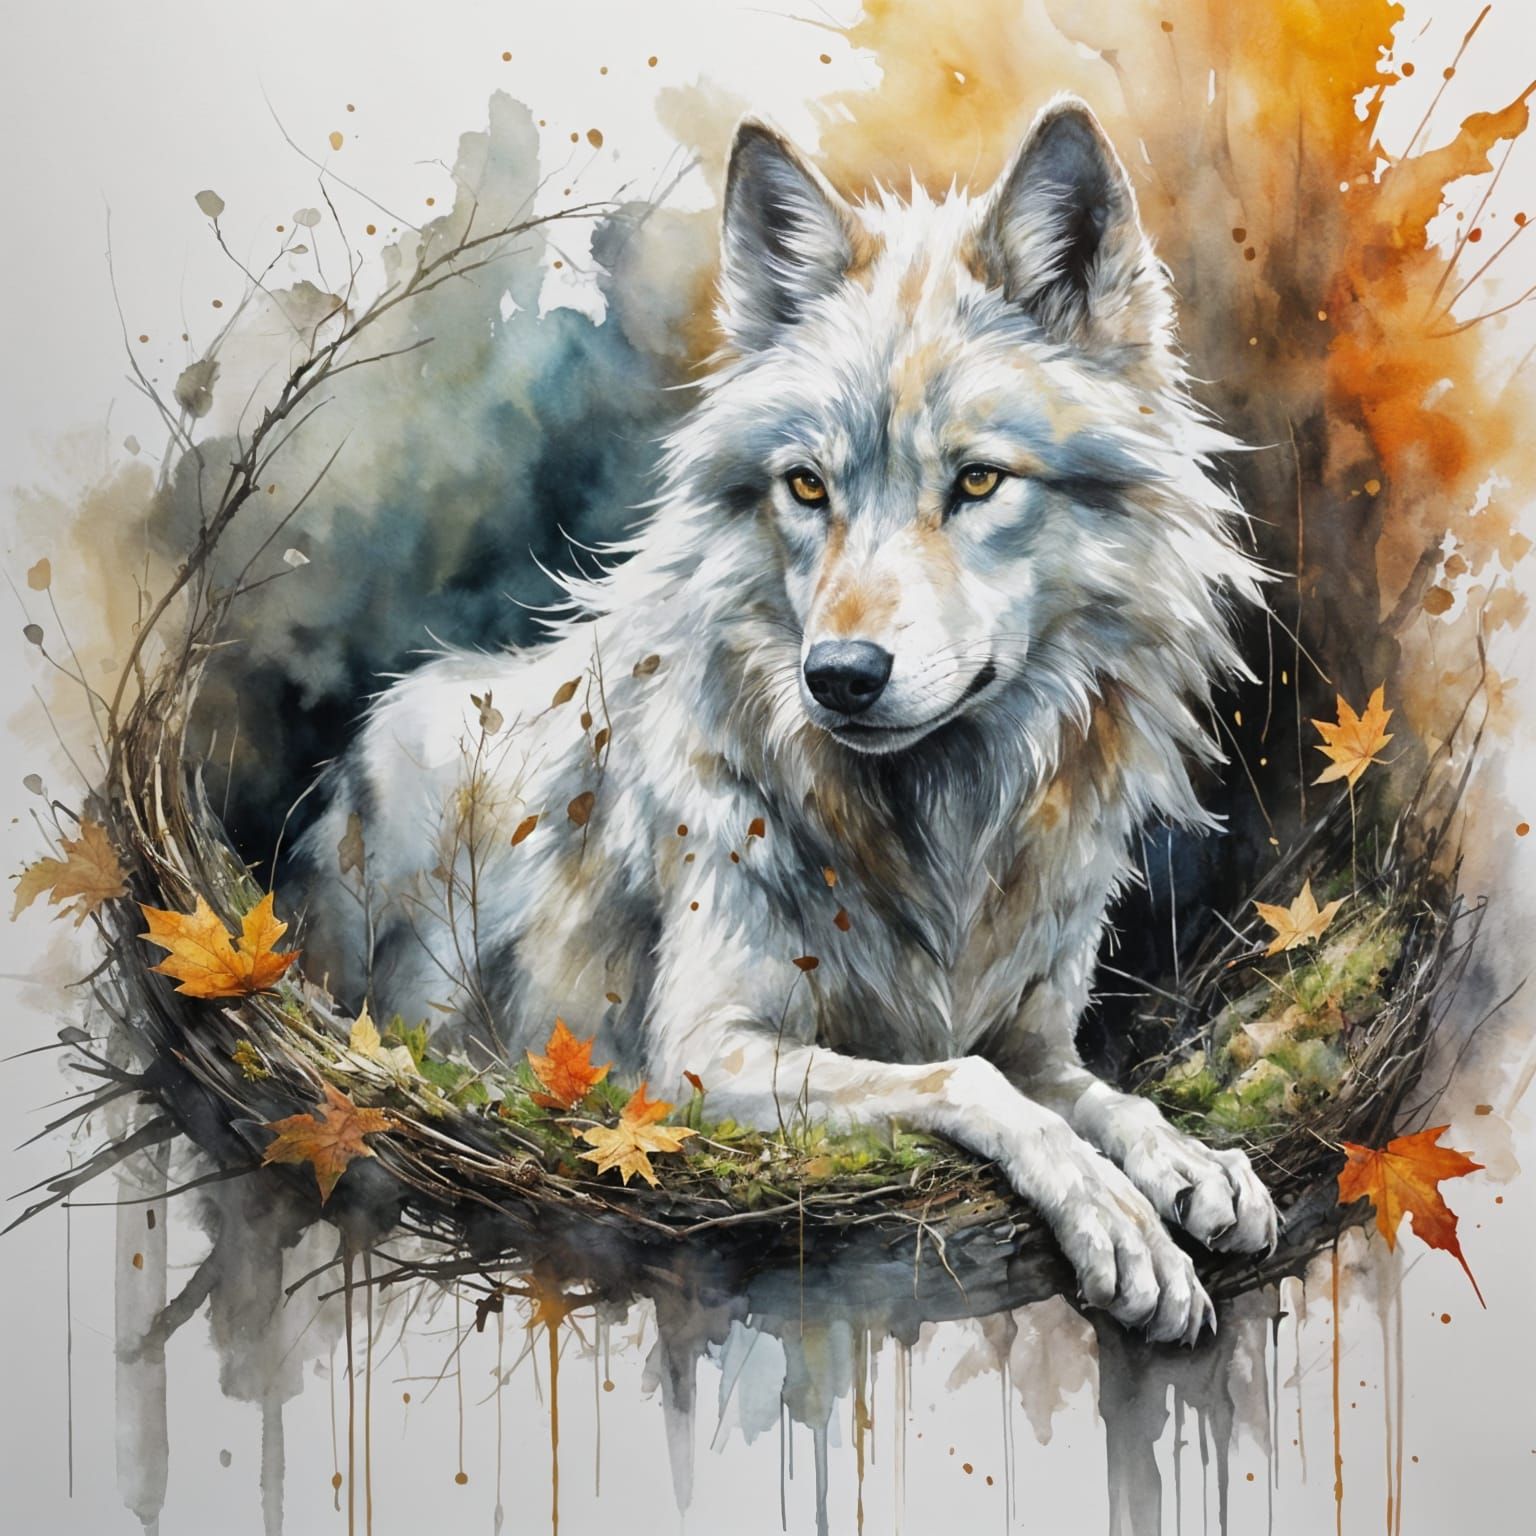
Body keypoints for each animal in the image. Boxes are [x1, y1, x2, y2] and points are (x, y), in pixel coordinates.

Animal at [292, 96, 1278, 1343]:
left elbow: (1101, 1099)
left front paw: (1191, 1165)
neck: (939, 836)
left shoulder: (1039, 1039)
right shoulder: (695, 1059)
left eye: (978, 482)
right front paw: (1119, 1223)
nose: (841, 677)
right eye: (808, 487)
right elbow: (974, 1084)